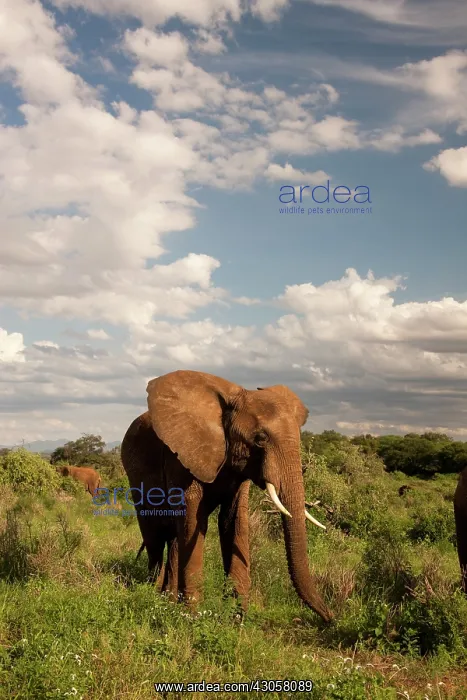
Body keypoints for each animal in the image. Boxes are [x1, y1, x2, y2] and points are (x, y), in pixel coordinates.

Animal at [121, 369, 333, 623]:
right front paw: (192, 617)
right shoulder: (180, 458)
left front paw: (237, 617)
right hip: (136, 478)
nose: (331, 617)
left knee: (173, 540)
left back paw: (168, 600)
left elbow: (233, 521)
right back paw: (154, 597)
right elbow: (194, 520)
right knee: (154, 536)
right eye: (260, 438)